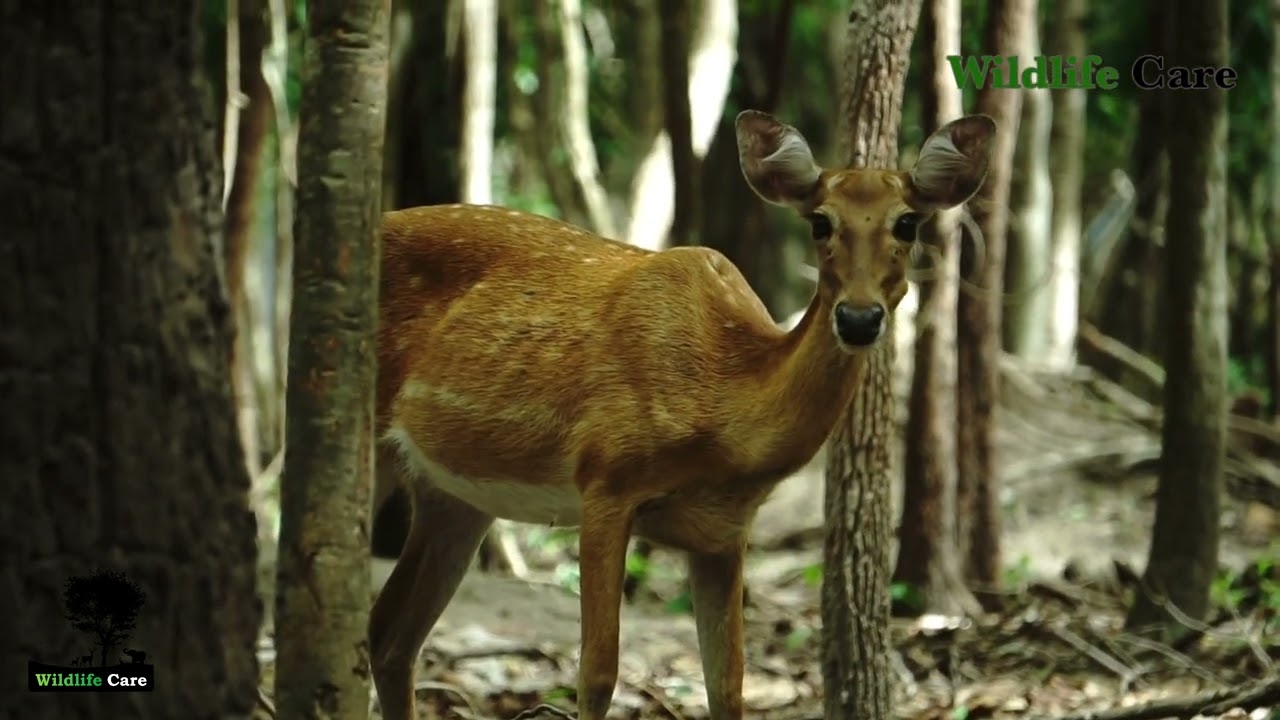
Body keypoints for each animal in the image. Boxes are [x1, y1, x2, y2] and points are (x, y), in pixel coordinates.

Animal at [368, 110, 995, 720]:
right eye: (820, 221)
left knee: (391, 634)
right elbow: (597, 674)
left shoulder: (724, 532)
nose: (859, 318)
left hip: (454, 496)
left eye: (908, 222)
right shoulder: (605, 477)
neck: (723, 423)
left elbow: (729, 684)